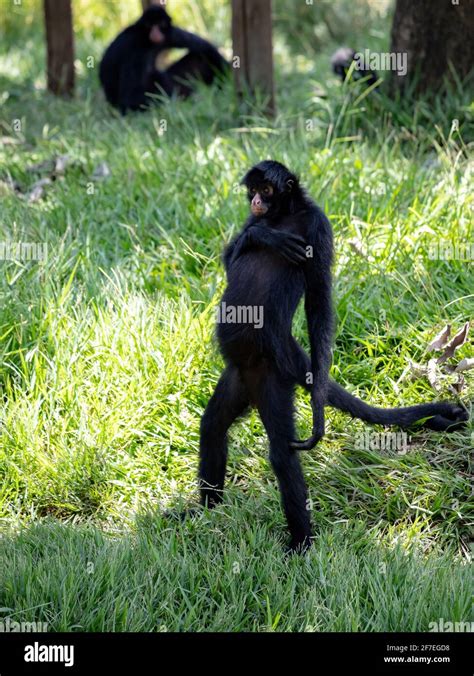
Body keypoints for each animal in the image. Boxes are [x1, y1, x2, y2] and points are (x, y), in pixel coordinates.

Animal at [99, 4, 229, 113]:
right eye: (149, 25)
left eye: (160, 24)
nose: (155, 32)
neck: (147, 41)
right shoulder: (135, 50)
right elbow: (129, 98)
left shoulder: (169, 34)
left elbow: (204, 46)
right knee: (158, 76)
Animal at [198, 161, 468, 552]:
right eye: (253, 191)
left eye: (267, 189)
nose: (257, 202)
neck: (285, 215)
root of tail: (286, 349)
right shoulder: (254, 221)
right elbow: (231, 258)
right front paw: (264, 238)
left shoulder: (318, 225)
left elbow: (319, 299)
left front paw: (318, 414)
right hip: (239, 375)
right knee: (213, 425)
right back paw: (203, 514)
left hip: (270, 375)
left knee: (282, 453)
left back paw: (300, 546)